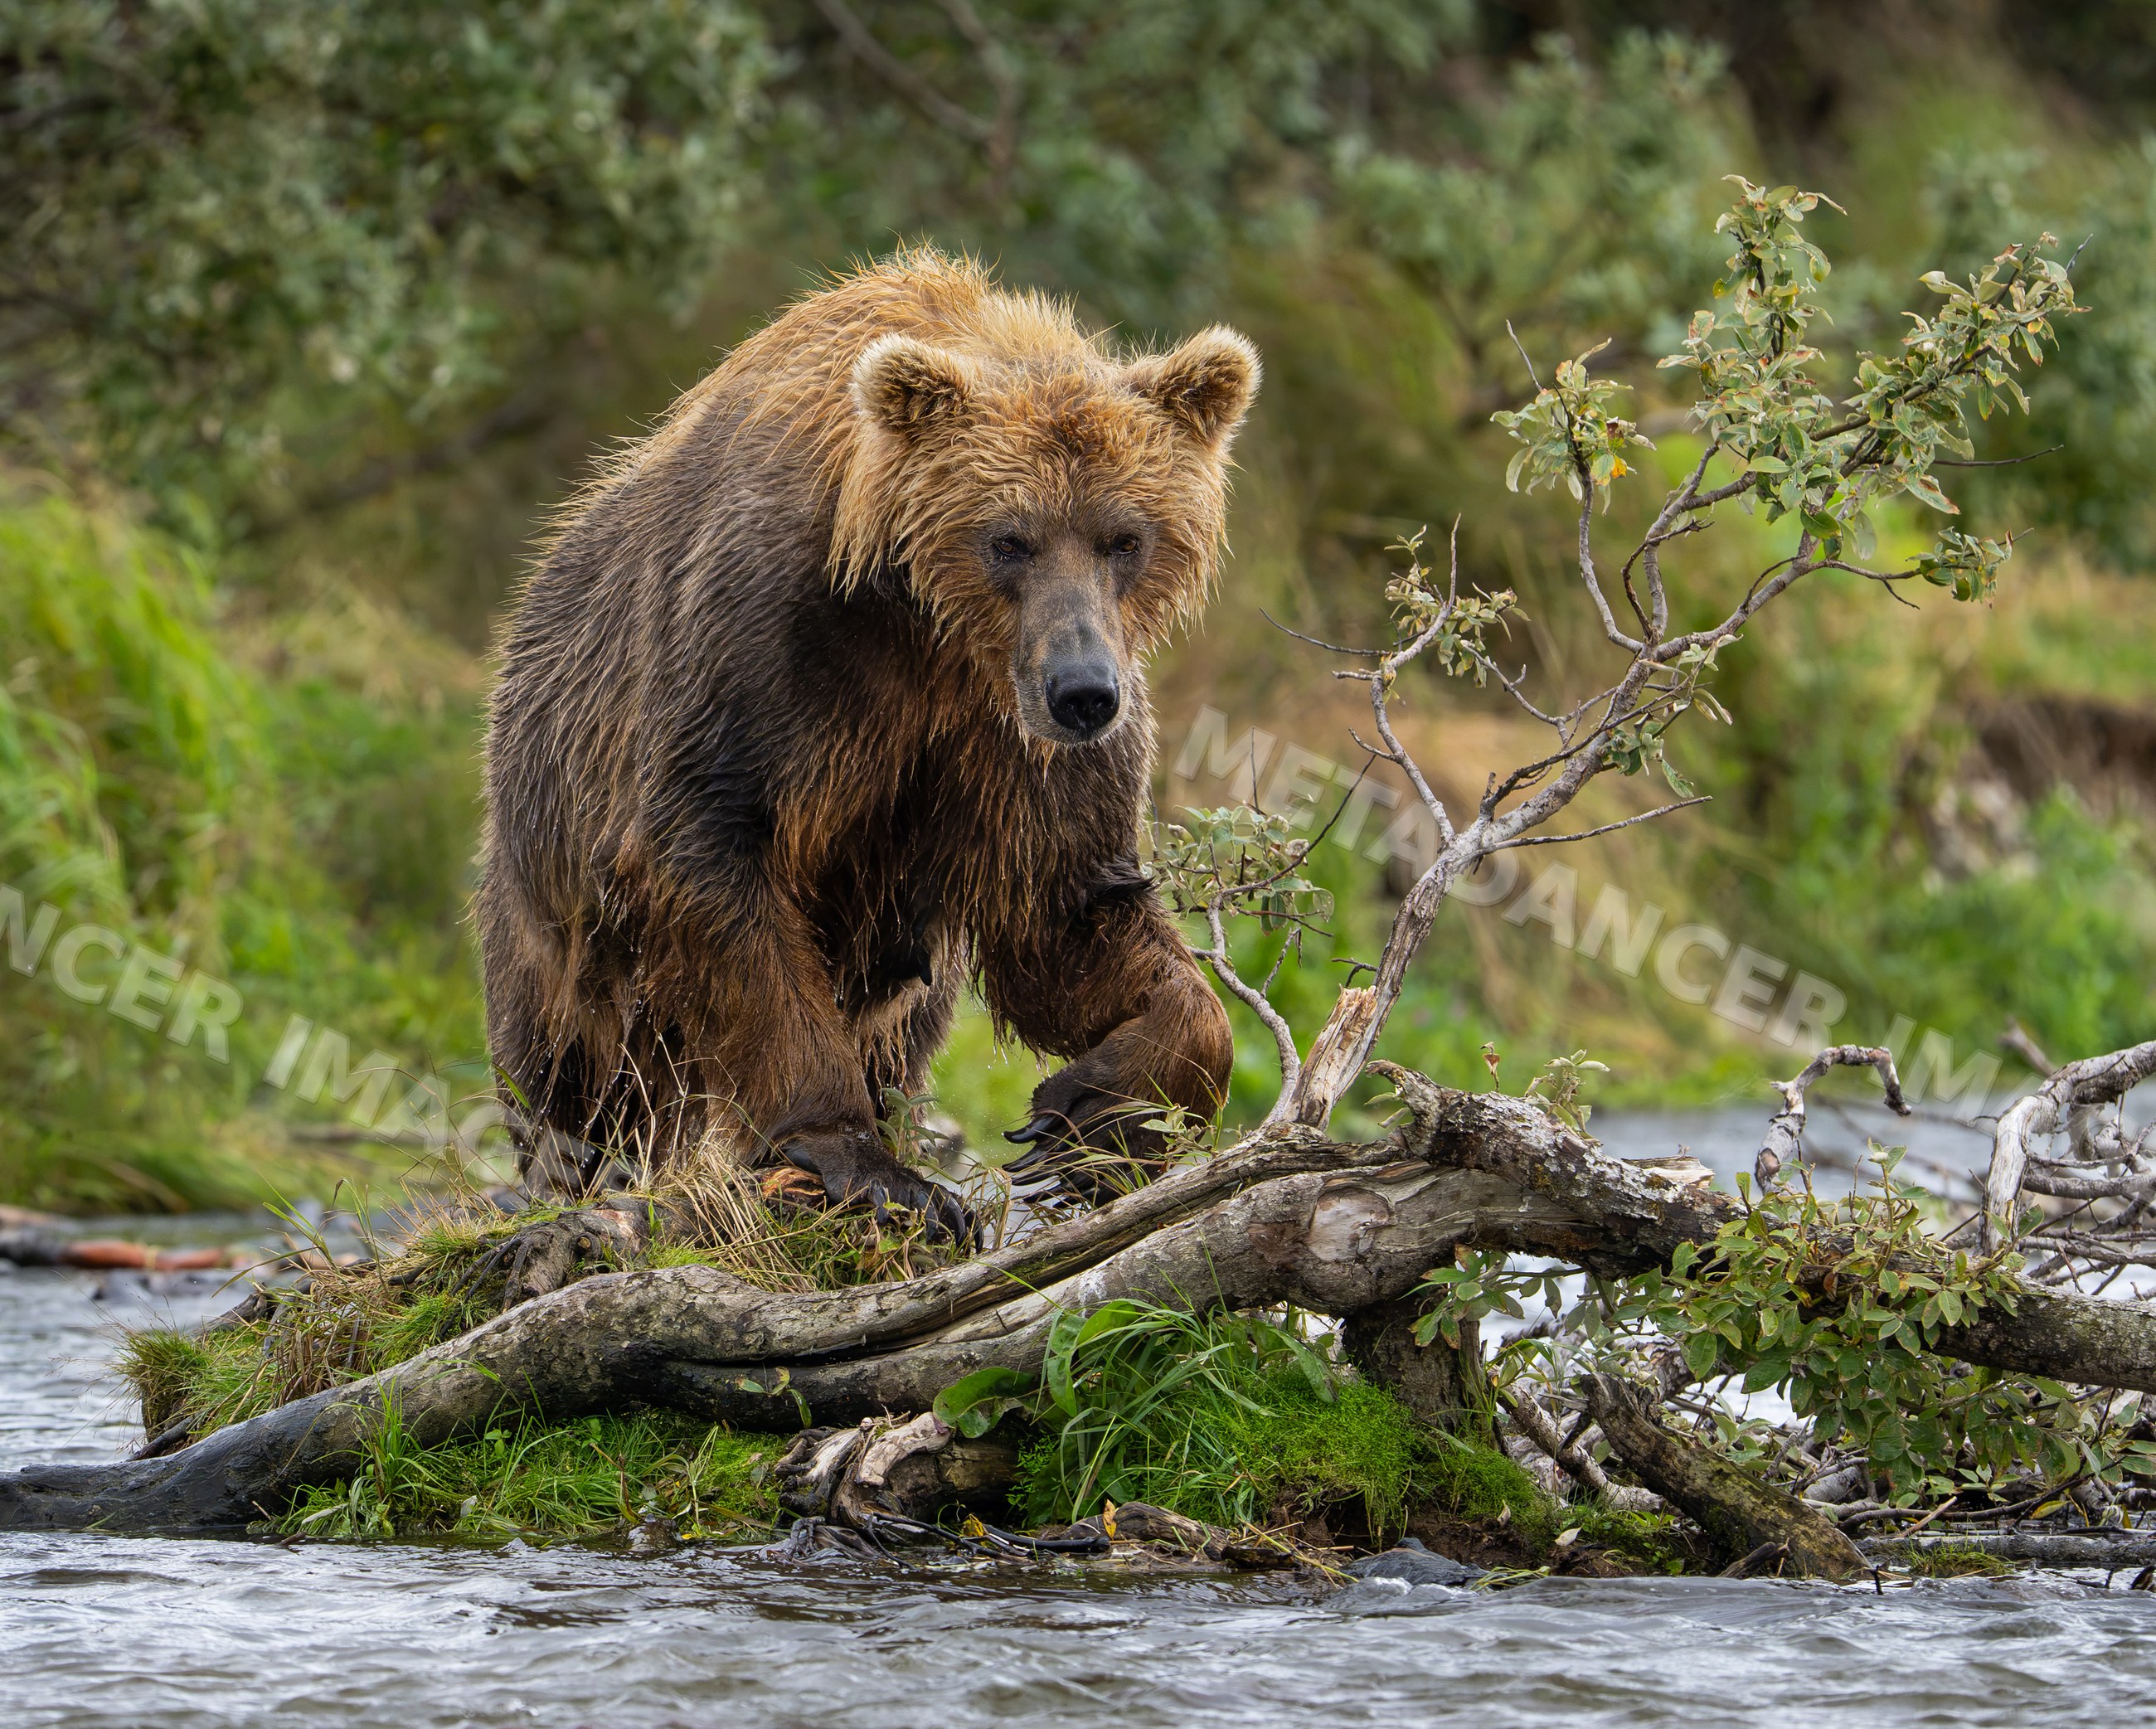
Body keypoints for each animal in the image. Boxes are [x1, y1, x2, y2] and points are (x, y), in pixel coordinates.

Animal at [478, 248, 1257, 1234]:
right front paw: (866, 1163)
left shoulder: (1003, 740)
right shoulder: (763, 656)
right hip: (548, 883)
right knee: (573, 1067)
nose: (1083, 693)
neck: (925, 631)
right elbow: (711, 861)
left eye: (1124, 538)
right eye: (1009, 539)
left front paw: (1095, 1114)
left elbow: (1065, 907)